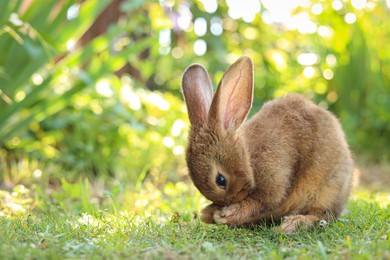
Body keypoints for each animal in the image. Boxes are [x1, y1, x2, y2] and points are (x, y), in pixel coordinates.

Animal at [181, 55, 354, 234]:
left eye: (221, 180)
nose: (228, 202)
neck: (248, 158)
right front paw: (207, 213)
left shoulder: (273, 176)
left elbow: (261, 203)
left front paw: (226, 214)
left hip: (327, 190)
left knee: (322, 215)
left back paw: (292, 224)